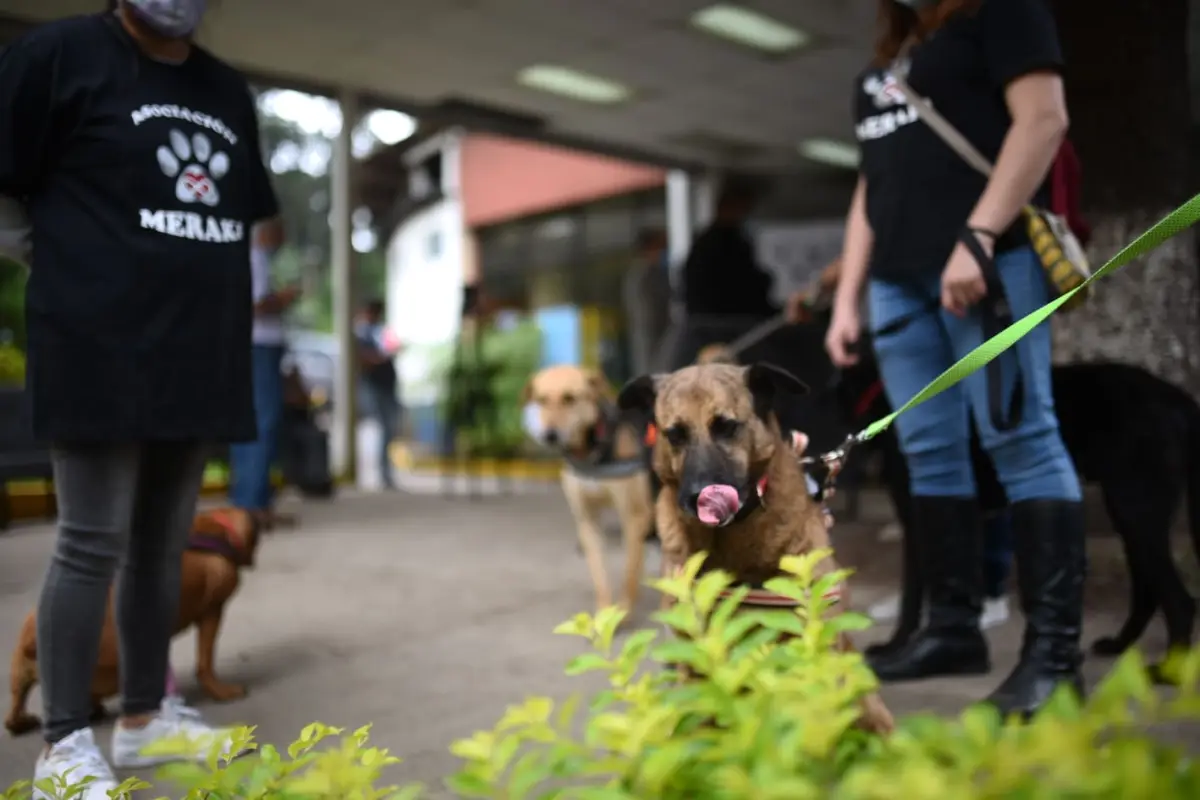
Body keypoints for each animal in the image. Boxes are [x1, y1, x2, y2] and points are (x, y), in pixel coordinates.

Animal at [6, 510, 260, 734]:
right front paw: (221, 691)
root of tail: (33, 641)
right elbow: (205, 661)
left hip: (20, 673)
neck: (213, 528)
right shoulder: (212, 613)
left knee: (12, 717)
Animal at [528, 367, 657, 618]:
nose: (550, 435)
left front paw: (622, 611)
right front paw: (605, 614)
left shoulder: (634, 516)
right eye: (542, 399)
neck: (590, 451)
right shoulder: (587, 519)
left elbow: (628, 572)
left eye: (570, 398)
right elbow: (600, 575)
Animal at [619, 367, 892, 734]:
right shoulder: (695, 668)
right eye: (674, 434)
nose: (698, 498)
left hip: (866, 704)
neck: (730, 543)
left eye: (727, 426)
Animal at [835, 357, 1200, 671]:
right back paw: (1120, 645)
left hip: (1136, 508)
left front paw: (894, 648)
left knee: (1179, 600)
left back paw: (1166, 673)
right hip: (1130, 512)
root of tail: (1178, 399)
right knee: (1148, 588)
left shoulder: (918, 519)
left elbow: (912, 597)